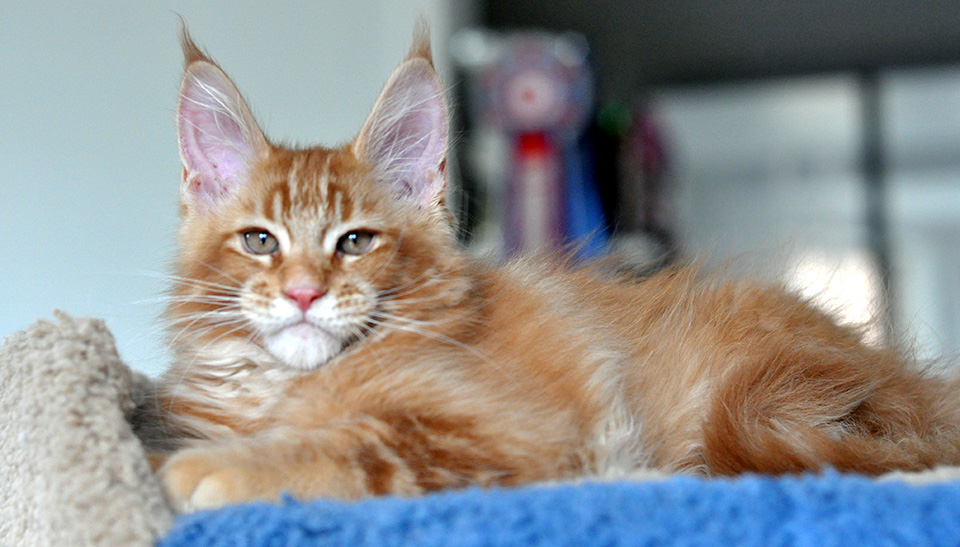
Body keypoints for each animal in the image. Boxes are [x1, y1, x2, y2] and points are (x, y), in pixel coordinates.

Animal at [154, 25, 960, 512]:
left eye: (355, 242)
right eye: (260, 241)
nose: (303, 293)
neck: (279, 387)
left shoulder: (505, 432)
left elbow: (359, 446)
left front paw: (220, 467)